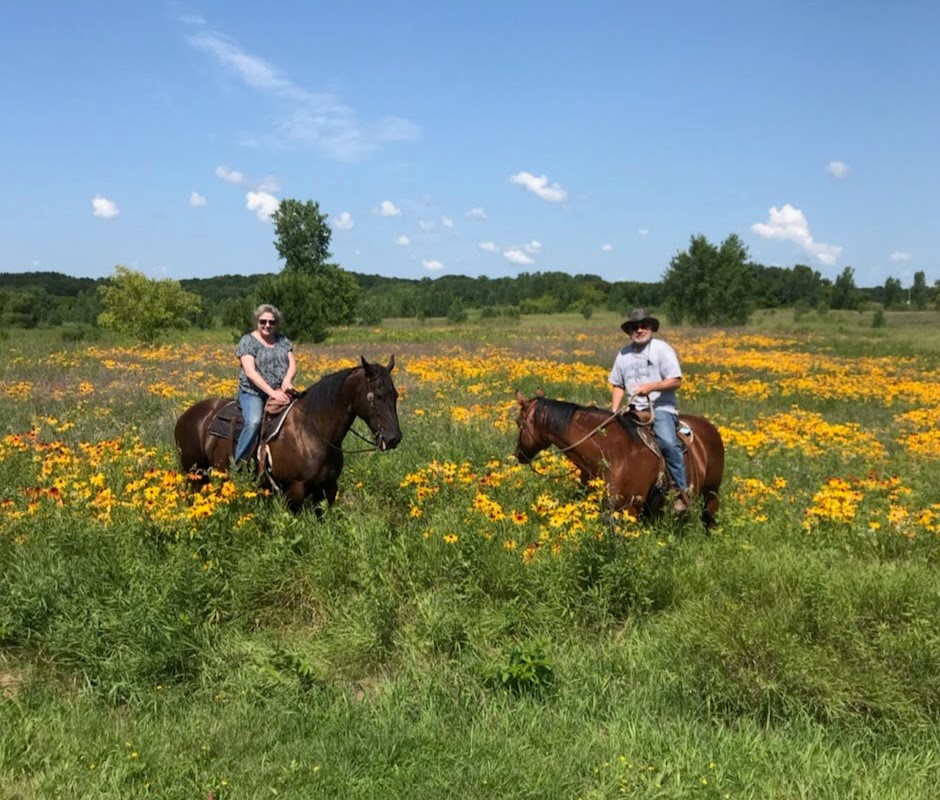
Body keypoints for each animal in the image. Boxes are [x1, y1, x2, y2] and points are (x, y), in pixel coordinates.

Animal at [176, 358, 400, 510]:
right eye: (378, 395)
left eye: (395, 395)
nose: (394, 438)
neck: (313, 432)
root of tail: (185, 416)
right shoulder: (295, 491)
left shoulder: (327, 489)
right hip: (193, 476)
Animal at [516, 390, 728, 528]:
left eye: (519, 423)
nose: (518, 454)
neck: (613, 454)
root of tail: (710, 427)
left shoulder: (629, 509)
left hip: (711, 493)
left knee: (709, 518)